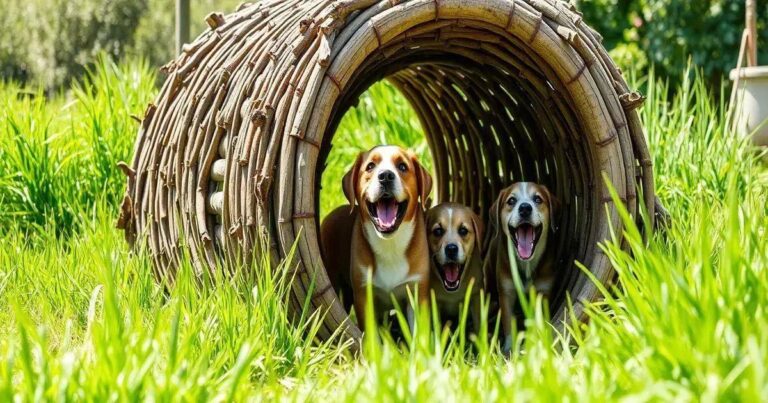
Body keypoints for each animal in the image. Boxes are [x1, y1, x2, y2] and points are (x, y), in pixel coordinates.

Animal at [320, 145, 436, 332]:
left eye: (402, 166)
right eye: (370, 166)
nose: (386, 176)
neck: (390, 245)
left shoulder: (416, 292)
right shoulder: (363, 295)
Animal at [424, 204, 484, 332]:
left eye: (463, 231)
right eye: (438, 231)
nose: (451, 249)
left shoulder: (476, 296)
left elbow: (479, 325)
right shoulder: (434, 301)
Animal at [484, 181, 560, 352]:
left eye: (538, 199)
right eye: (511, 201)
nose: (525, 208)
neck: (526, 263)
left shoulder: (543, 292)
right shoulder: (506, 292)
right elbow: (507, 321)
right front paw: (509, 347)